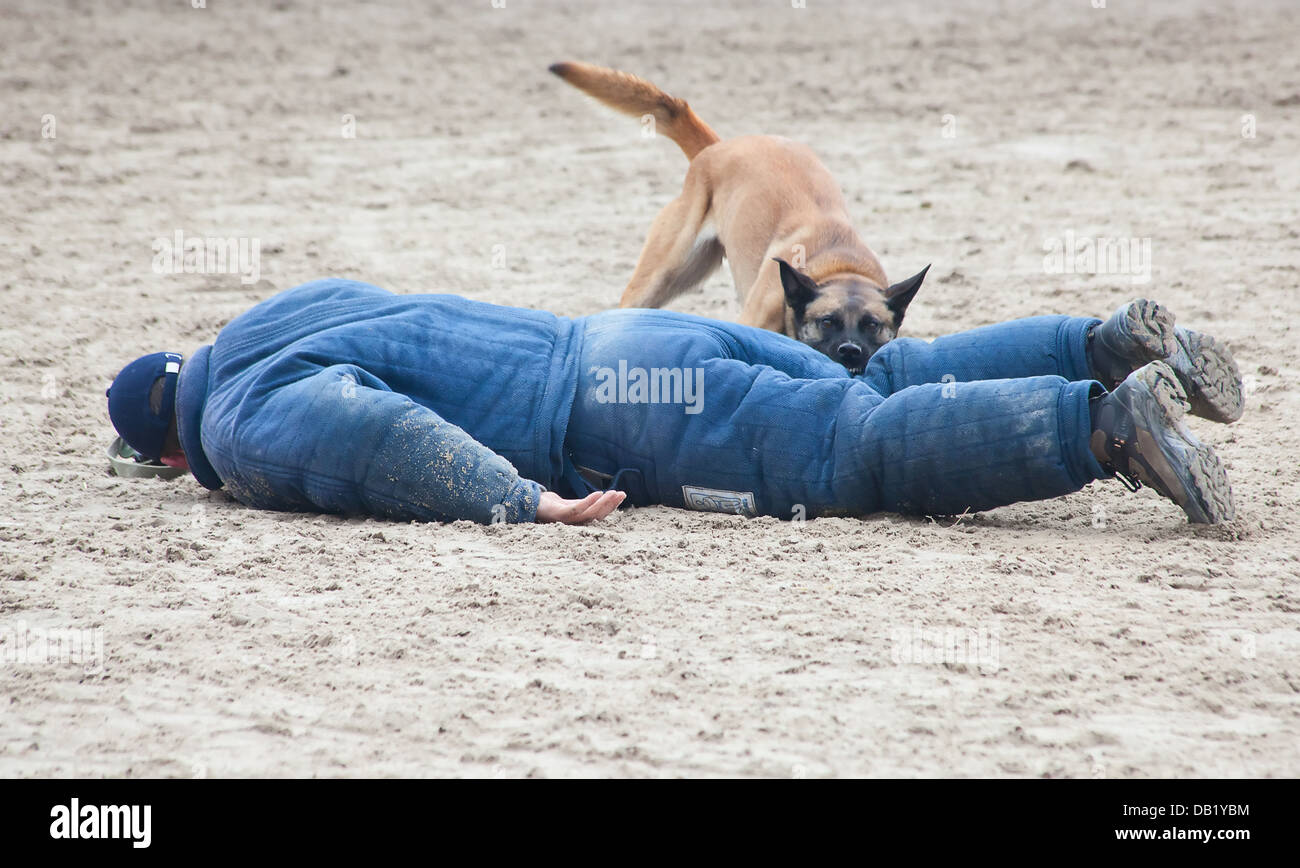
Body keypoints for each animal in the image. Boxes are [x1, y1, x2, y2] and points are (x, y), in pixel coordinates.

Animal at [553, 60, 930, 374]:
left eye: (872, 324)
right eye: (827, 321)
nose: (850, 351)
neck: (836, 264)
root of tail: (717, 148)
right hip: (658, 278)